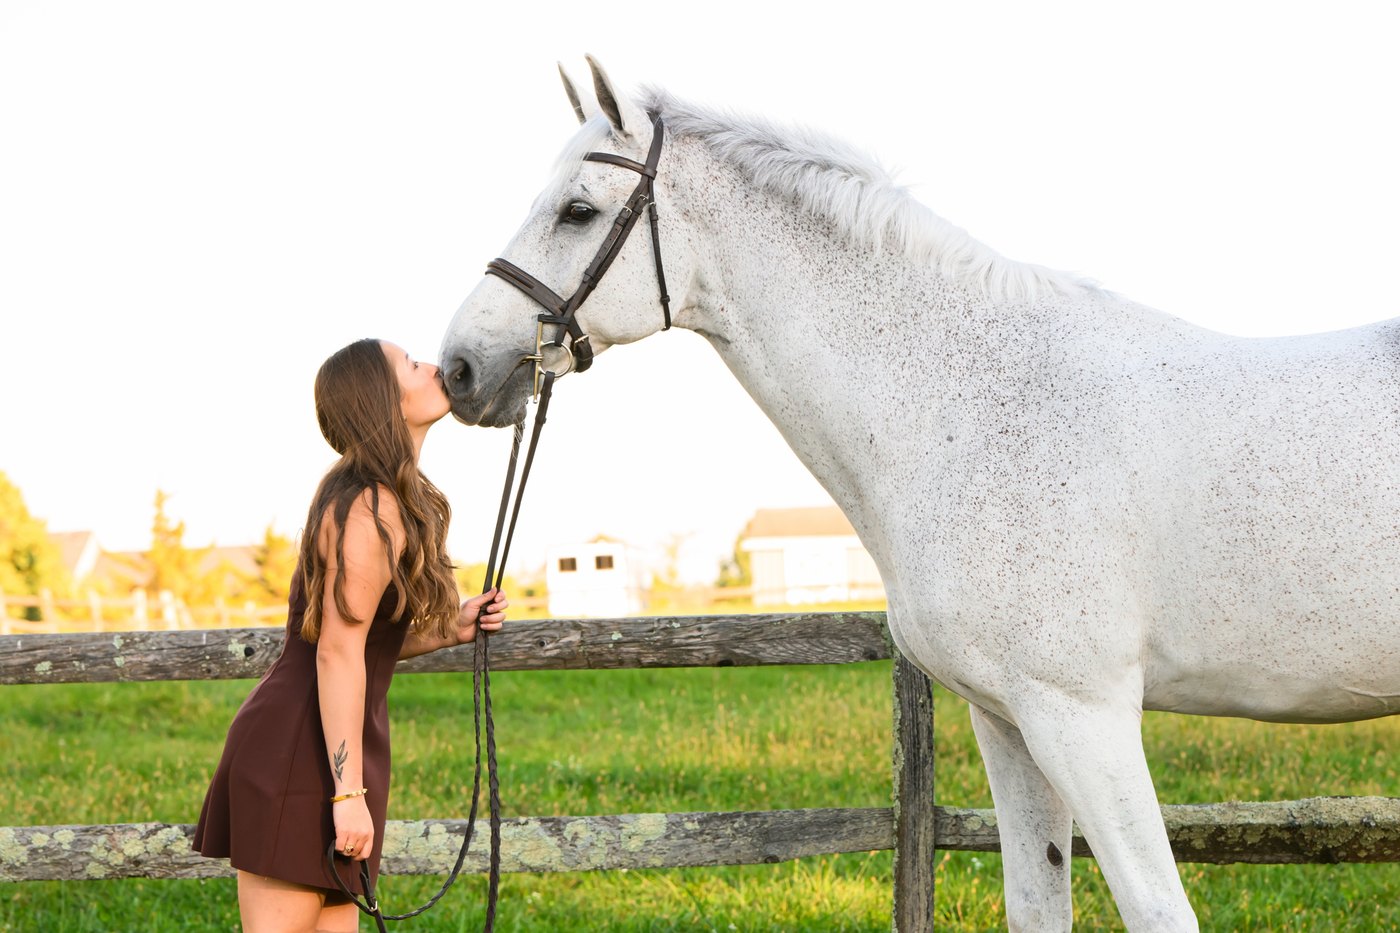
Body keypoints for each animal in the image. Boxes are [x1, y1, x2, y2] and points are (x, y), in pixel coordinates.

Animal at [439, 56, 1400, 931]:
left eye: (578, 210)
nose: (459, 368)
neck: (975, 406)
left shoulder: (1084, 718)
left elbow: (1160, 910)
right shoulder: (1010, 721)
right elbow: (1036, 904)